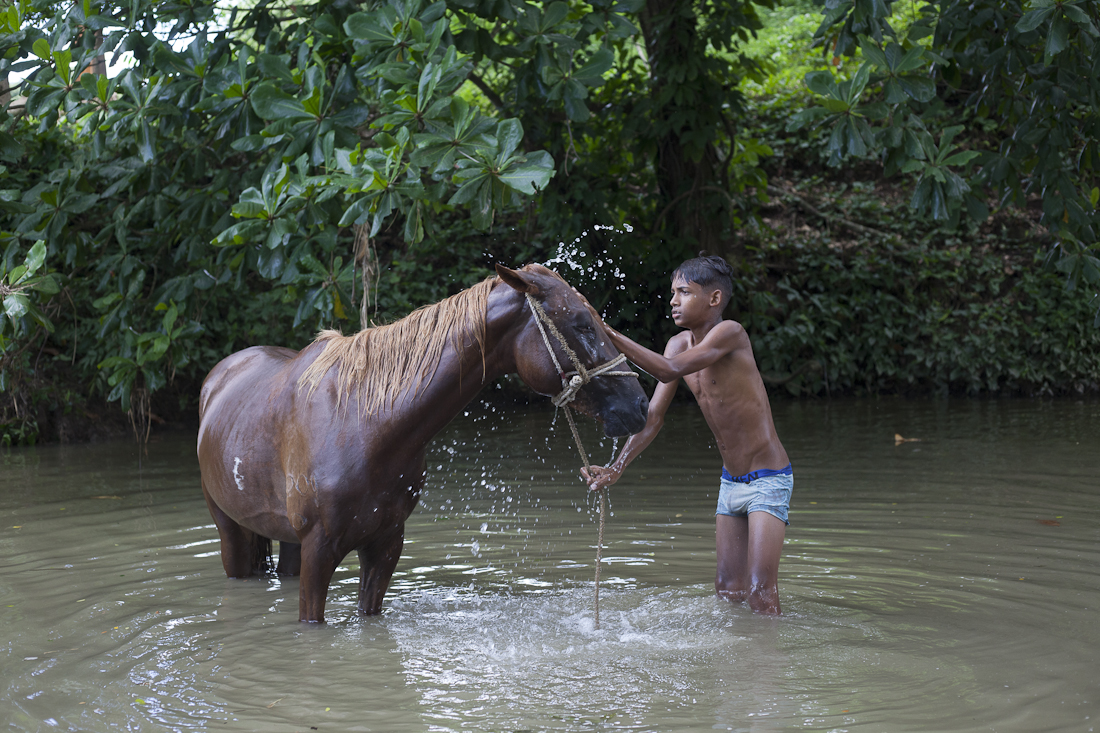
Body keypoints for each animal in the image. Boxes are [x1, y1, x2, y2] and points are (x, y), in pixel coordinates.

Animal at [196, 265, 646, 620]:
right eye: (582, 323)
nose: (640, 405)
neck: (365, 423)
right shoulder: (319, 550)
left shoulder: (386, 544)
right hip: (230, 530)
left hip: (289, 543)